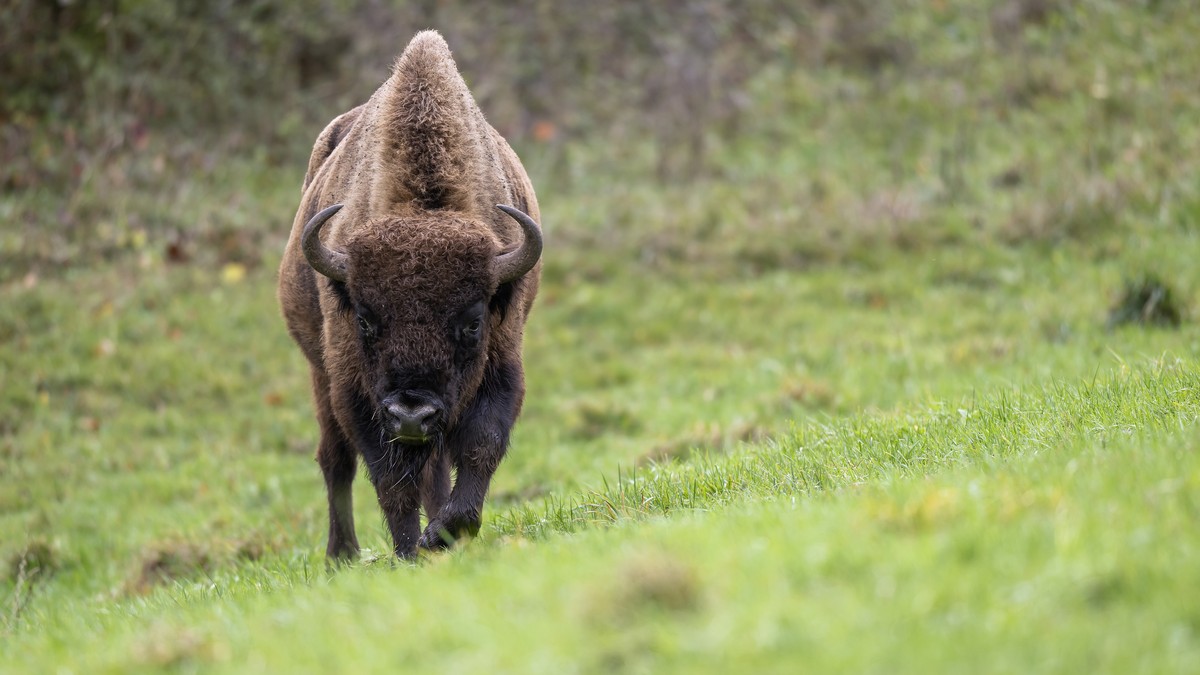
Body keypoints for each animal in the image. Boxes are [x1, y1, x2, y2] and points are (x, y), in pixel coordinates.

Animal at [278, 31, 542, 559]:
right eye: (364, 318)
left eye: (473, 321)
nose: (412, 414)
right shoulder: (356, 389)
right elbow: (390, 479)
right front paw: (407, 550)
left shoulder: (501, 363)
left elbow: (480, 446)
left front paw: (442, 534)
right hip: (319, 372)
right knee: (335, 459)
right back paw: (341, 555)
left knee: (432, 465)